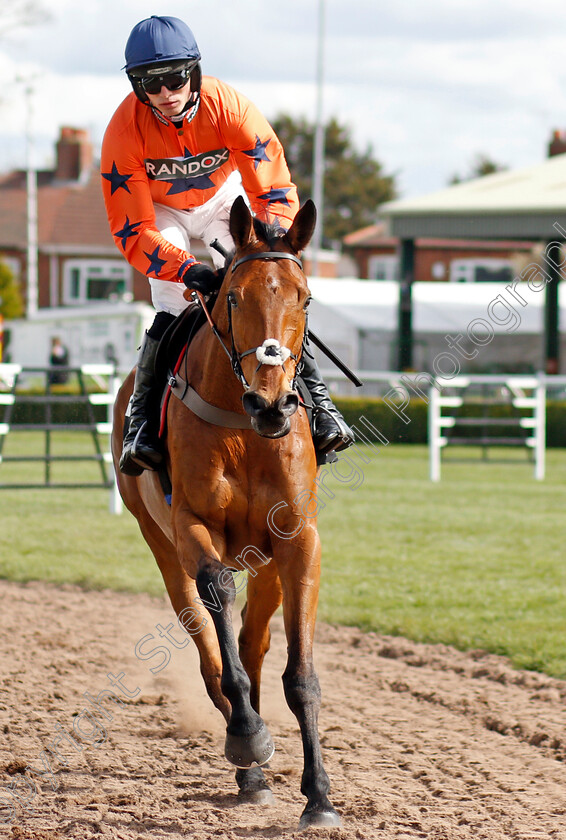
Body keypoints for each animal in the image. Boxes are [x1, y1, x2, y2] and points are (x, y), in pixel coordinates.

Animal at [113, 195, 340, 828]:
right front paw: (247, 739)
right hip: (161, 546)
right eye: (234, 297)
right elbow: (216, 596)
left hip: (264, 565)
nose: (273, 403)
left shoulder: (298, 540)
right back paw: (248, 752)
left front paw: (319, 796)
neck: (243, 428)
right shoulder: (193, 526)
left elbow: (300, 674)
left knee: (253, 644)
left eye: (304, 298)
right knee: (212, 650)